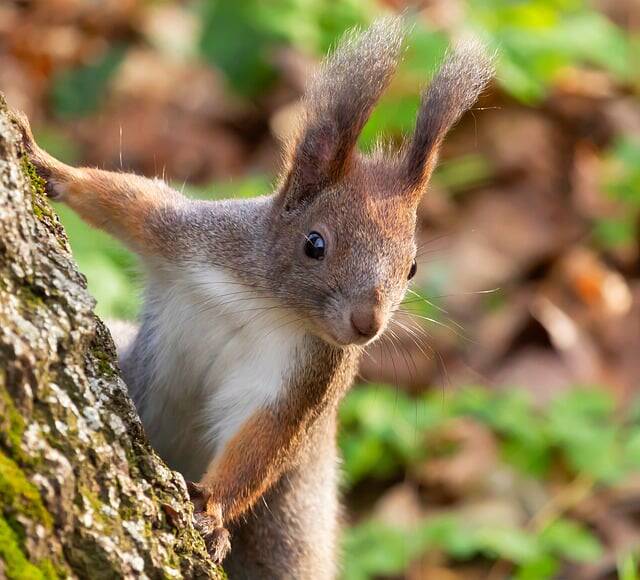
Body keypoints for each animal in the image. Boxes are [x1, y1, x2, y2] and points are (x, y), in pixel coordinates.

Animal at [13, 17, 492, 580]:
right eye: (315, 244)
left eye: (412, 266)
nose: (366, 324)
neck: (262, 301)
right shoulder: (189, 238)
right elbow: (126, 201)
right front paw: (44, 162)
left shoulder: (309, 376)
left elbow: (265, 440)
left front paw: (213, 512)